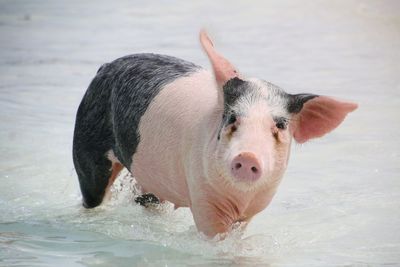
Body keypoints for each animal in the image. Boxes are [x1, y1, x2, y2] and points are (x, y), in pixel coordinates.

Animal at [73, 30, 358, 238]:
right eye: (232, 118)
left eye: (279, 125)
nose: (248, 157)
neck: (240, 197)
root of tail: (105, 66)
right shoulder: (202, 196)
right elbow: (215, 236)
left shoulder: (253, 209)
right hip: (88, 141)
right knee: (92, 193)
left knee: (147, 200)